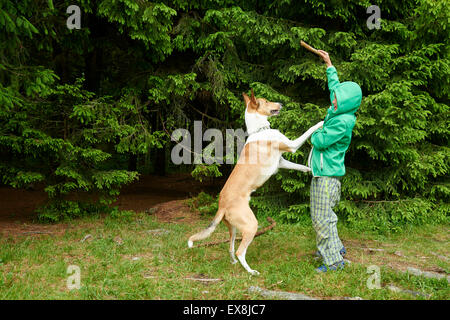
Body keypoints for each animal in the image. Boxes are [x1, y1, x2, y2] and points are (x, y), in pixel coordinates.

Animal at [186, 89, 324, 274]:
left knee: (231, 248)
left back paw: (234, 264)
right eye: (266, 101)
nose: (281, 103)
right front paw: (321, 122)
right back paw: (251, 272)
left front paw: (311, 170)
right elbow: (309, 130)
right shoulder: (292, 145)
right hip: (251, 225)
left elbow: (300, 166)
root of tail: (221, 205)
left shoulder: (281, 162)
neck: (260, 130)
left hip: (233, 228)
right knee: (240, 251)